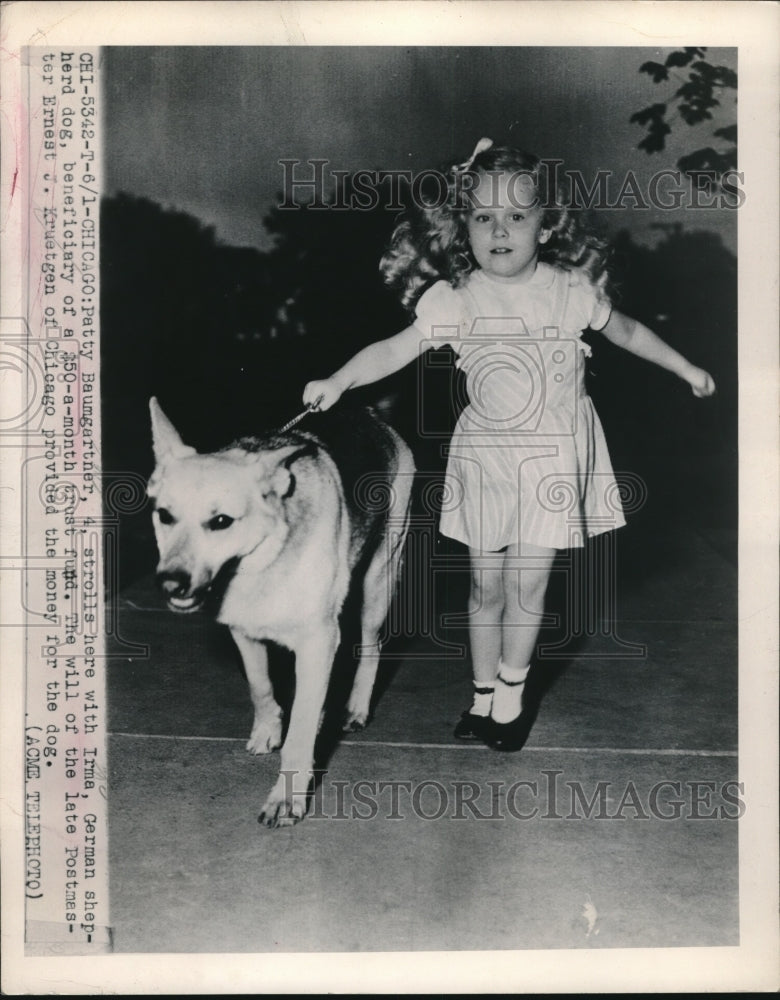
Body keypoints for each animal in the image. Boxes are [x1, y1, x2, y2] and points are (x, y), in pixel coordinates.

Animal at [147, 398, 414, 828]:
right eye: (165, 516)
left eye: (220, 521)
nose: (171, 584)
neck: (263, 559)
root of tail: (370, 413)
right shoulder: (243, 630)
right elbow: (261, 686)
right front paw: (269, 728)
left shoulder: (318, 642)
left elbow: (300, 730)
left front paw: (287, 796)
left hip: (380, 578)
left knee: (371, 647)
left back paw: (356, 706)